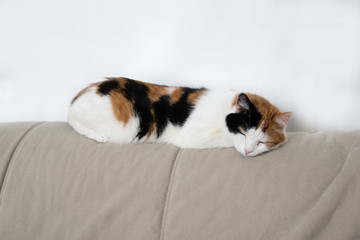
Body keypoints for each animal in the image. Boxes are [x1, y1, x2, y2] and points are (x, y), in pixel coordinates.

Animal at [68, 77, 292, 158]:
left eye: (262, 141)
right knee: (73, 118)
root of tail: (80, 96)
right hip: (120, 128)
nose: (247, 151)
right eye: (243, 133)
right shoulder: (192, 137)